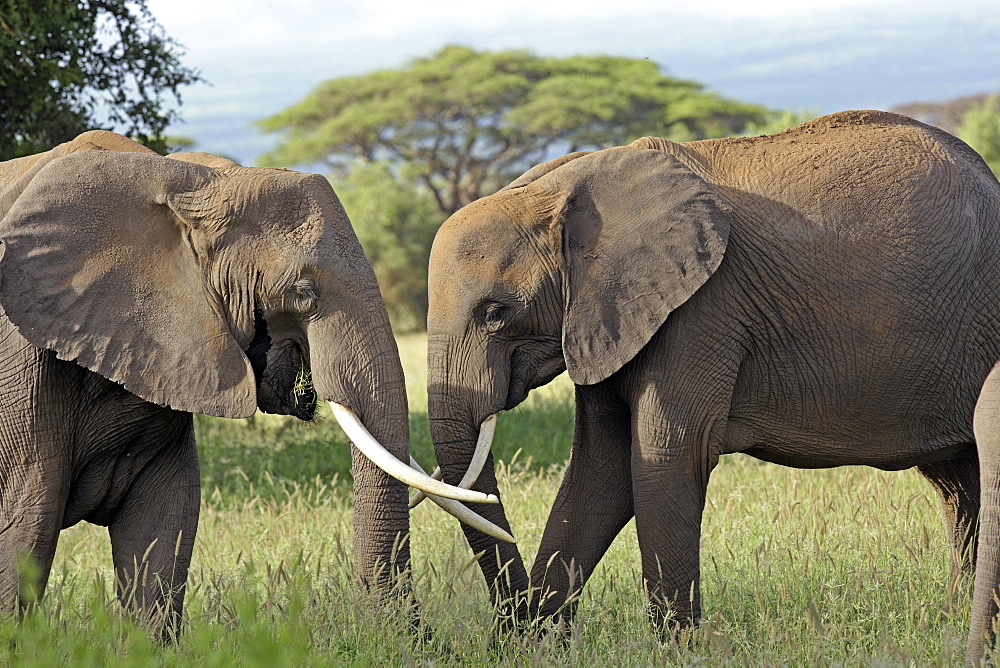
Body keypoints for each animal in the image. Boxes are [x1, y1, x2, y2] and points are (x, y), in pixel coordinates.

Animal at [0, 130, 492, 636]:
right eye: (303, 292)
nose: (425, 637)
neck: (186, 179)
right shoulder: (22, 364)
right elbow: (26, 526)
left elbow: (163, 525)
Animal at [420, 111, 1000, 664]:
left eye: (496, 312)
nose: (509, 627)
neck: (560, 187)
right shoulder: (605, 317)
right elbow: (599, 470)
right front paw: (536, 649)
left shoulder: (700, 309)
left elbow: (666, 457)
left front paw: (678, 654)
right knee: (959, 481)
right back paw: (953, 619)